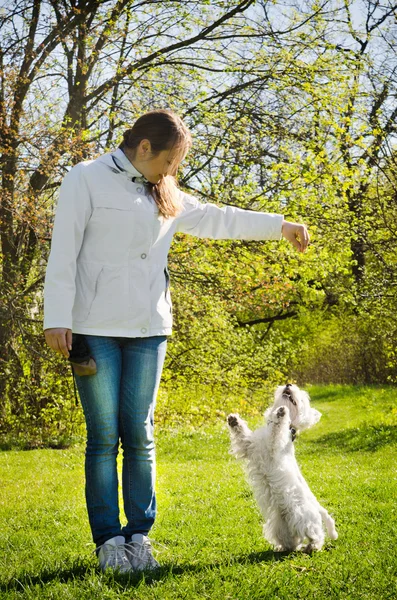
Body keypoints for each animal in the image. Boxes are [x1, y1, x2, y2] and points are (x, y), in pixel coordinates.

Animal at [227, 384, 336, 552]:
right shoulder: (249, 446)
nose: (288, 384)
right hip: (281, 526)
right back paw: (285, 548)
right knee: (293, 541)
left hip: (304, 518)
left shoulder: (274, 446)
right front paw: (233, 420)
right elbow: (242, 434)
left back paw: (312, 546)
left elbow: (277, 428)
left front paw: (281, 412)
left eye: (302, 398)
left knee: (316, 534)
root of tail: (318, 508)